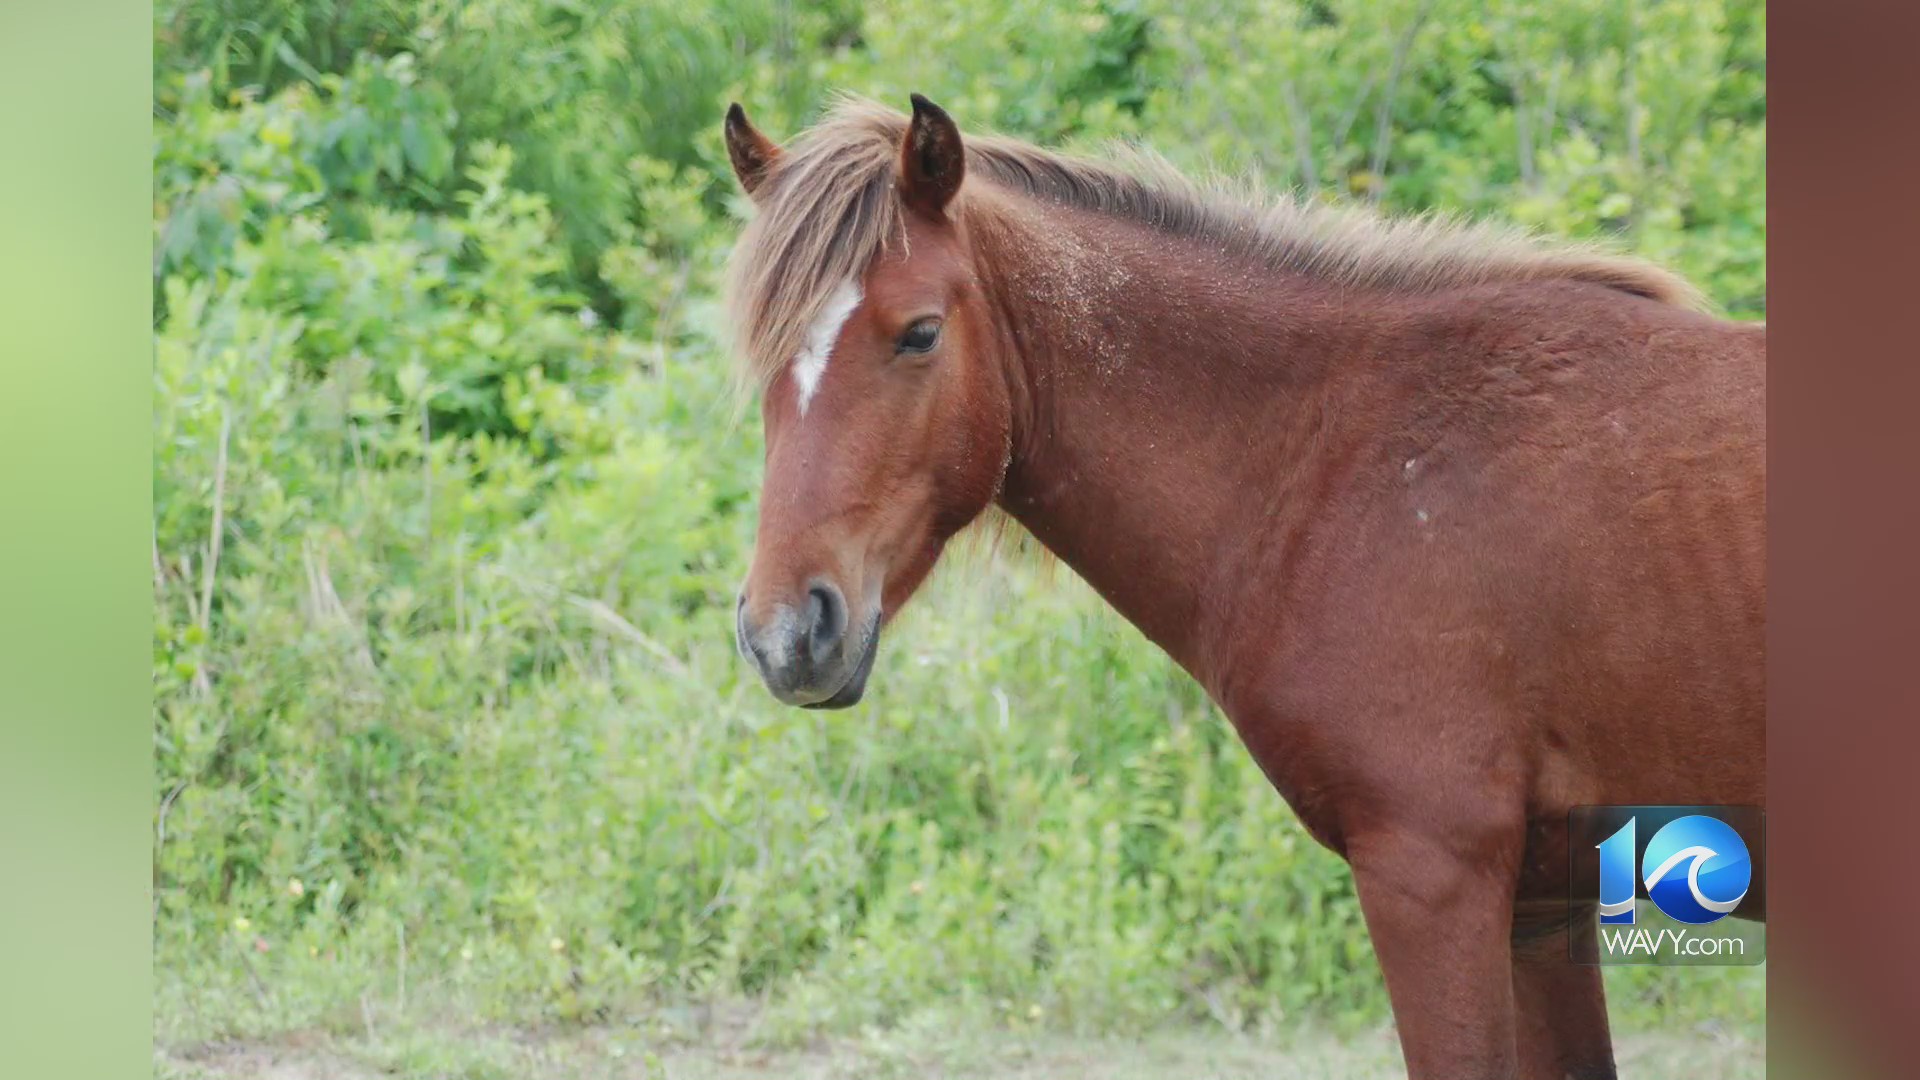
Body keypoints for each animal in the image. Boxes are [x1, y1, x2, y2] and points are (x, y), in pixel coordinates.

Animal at [721, 94, 1764, 1080]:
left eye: (920, 334)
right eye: (762, 356)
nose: (787, 634)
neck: (1340, 460)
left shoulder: (1434, 875)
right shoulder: (1546, 906)